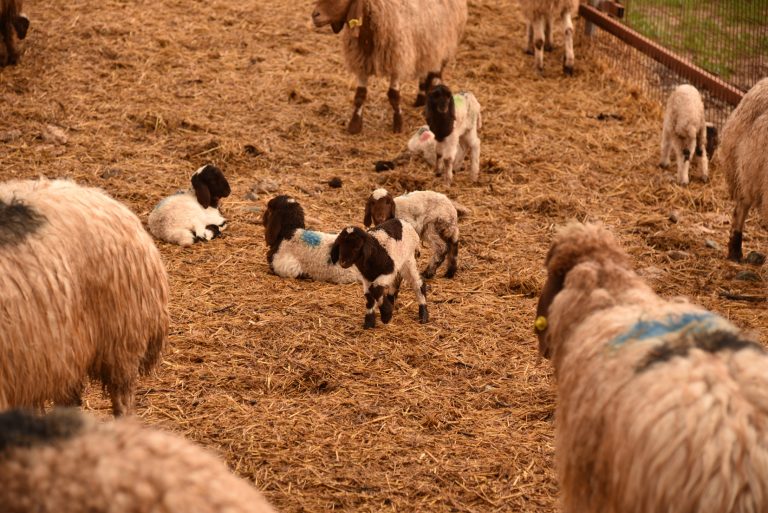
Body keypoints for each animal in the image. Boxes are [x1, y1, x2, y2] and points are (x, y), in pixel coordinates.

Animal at [312, 0, 468, 134]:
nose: (314, 15)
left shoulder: (396, 60)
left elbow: (394, 95)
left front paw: (398, 124)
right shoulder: (362, 61)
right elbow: (360, 95)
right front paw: (354, 125)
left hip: (442, 42)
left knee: (436, 74)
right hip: (426, 45)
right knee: (425, 71)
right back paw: (420, 99)